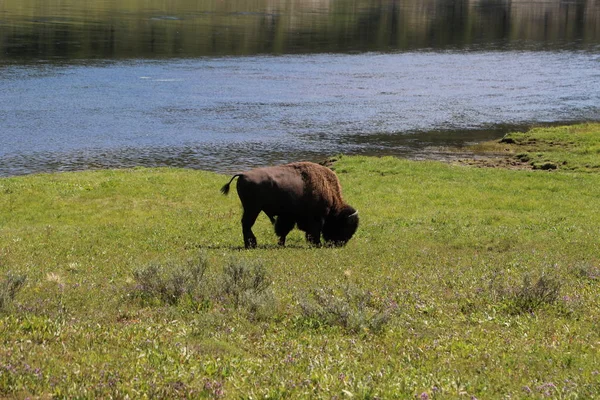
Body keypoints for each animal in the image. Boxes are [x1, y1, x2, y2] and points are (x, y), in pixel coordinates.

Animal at [221, 161, 358, 248]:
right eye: (345, 226)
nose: (340, 243)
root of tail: (243, 174)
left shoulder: (288, 217)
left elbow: (283, 230)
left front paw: (281, 244)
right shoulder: (317, 219)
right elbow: (313, 232)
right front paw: (317, 244)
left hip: (251, 209)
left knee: (246, 225)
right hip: (253, 209)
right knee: (247, 224)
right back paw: (251, 245)